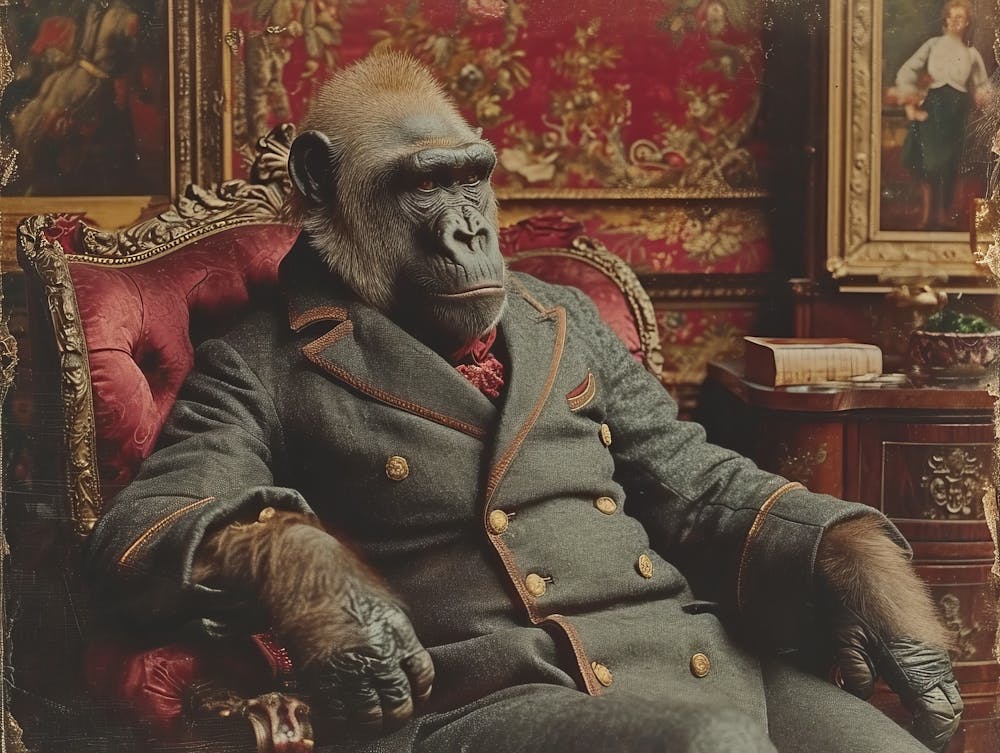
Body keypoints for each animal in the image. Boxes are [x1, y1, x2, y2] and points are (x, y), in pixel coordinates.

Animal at [87, 52, 960, 753]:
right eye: (424, 184)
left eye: (471, 176)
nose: (471, 232)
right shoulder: (225, 372)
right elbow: (159, 512)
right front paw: (340, 607)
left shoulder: (594, 345)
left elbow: (702, 482)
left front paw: (882, 607)